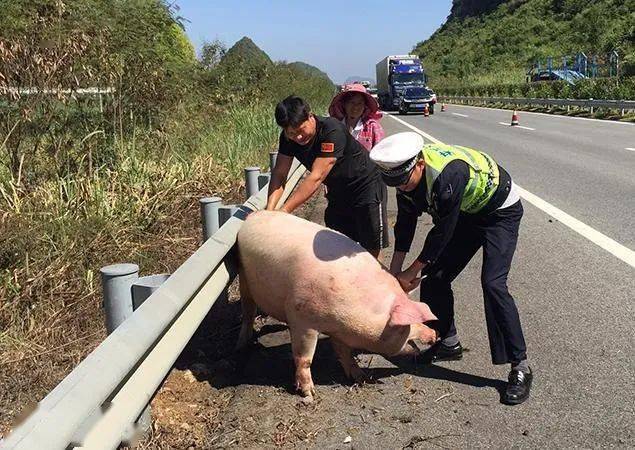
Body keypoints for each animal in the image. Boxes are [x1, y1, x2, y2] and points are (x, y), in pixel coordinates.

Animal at [236, 209, 440, 400]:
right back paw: (243, 344)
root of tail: (254, 215)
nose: (434, 334)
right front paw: (309, 394)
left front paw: (361, 377)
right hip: (244, 280)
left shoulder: (339, 330)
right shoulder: (301, 318)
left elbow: (345, 353)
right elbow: (305, 358)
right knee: (248, 312)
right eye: (405, 326)